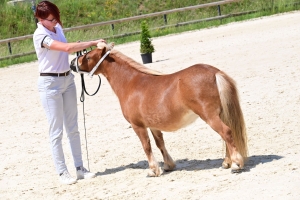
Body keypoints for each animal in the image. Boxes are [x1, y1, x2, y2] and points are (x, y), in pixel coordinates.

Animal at [71, 41, 248, 176]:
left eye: (88, 57)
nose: (72, 64)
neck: (131, 83)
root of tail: (215, 72)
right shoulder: (153, 125)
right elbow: (159, 144)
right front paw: (168, 166)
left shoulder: (138, 126)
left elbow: (146, 146)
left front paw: (153, 170)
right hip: (221, 114)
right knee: (227, 134)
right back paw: (226, 162)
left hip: (210, 116)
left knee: (226, 132)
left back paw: (235, 165)